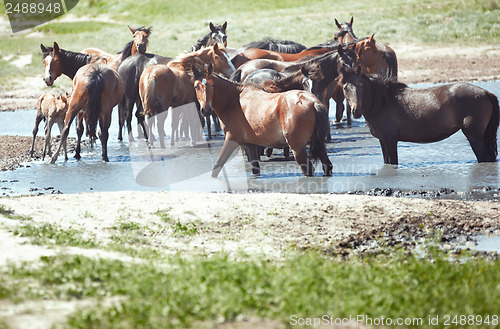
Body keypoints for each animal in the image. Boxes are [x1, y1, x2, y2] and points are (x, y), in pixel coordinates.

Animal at [191, 62, 332, 178]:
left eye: (212, 85)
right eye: (196, 87)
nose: (205, 110)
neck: (234, 101)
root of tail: (313, 102)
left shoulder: (232, 139)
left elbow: (217, 165)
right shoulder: (250, 144)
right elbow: (255, 169)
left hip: (297, 148)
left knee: (308, 169)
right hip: (318, 145)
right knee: (327, 166)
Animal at [338, 65, 498, 164]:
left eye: (361, 86)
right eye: (345, 87)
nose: (356, 111)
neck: (382, 103)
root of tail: (486, 93)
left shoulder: (390, 141)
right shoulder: (383, 141)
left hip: (474, 137)